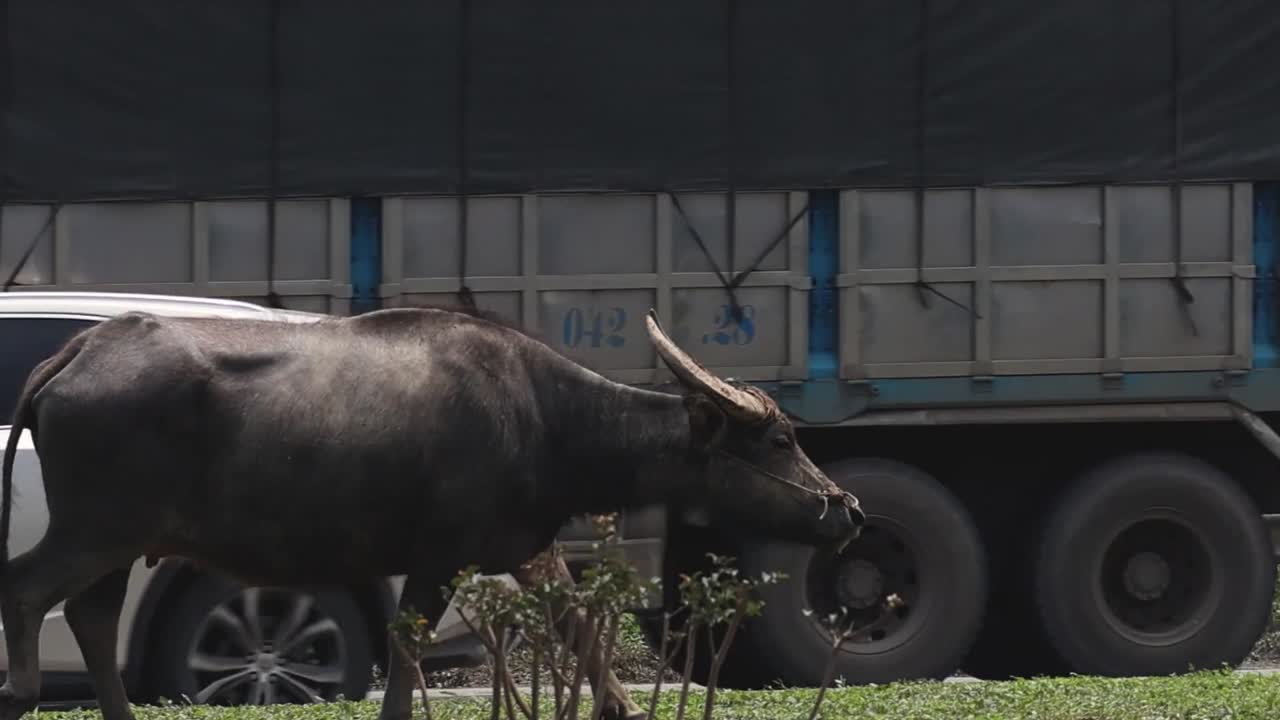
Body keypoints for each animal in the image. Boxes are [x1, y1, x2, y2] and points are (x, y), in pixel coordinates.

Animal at [0, 304, 864, 720]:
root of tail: (74, 354)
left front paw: (621, 707)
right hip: (95, 531)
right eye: (780, 438)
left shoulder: (526, 548)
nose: (848, 509)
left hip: (119, 543)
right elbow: (405, 663)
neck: (546, 419)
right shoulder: (439, 559)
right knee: (26, 586)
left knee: (92, 616)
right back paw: (22, 693)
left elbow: (579, 629)